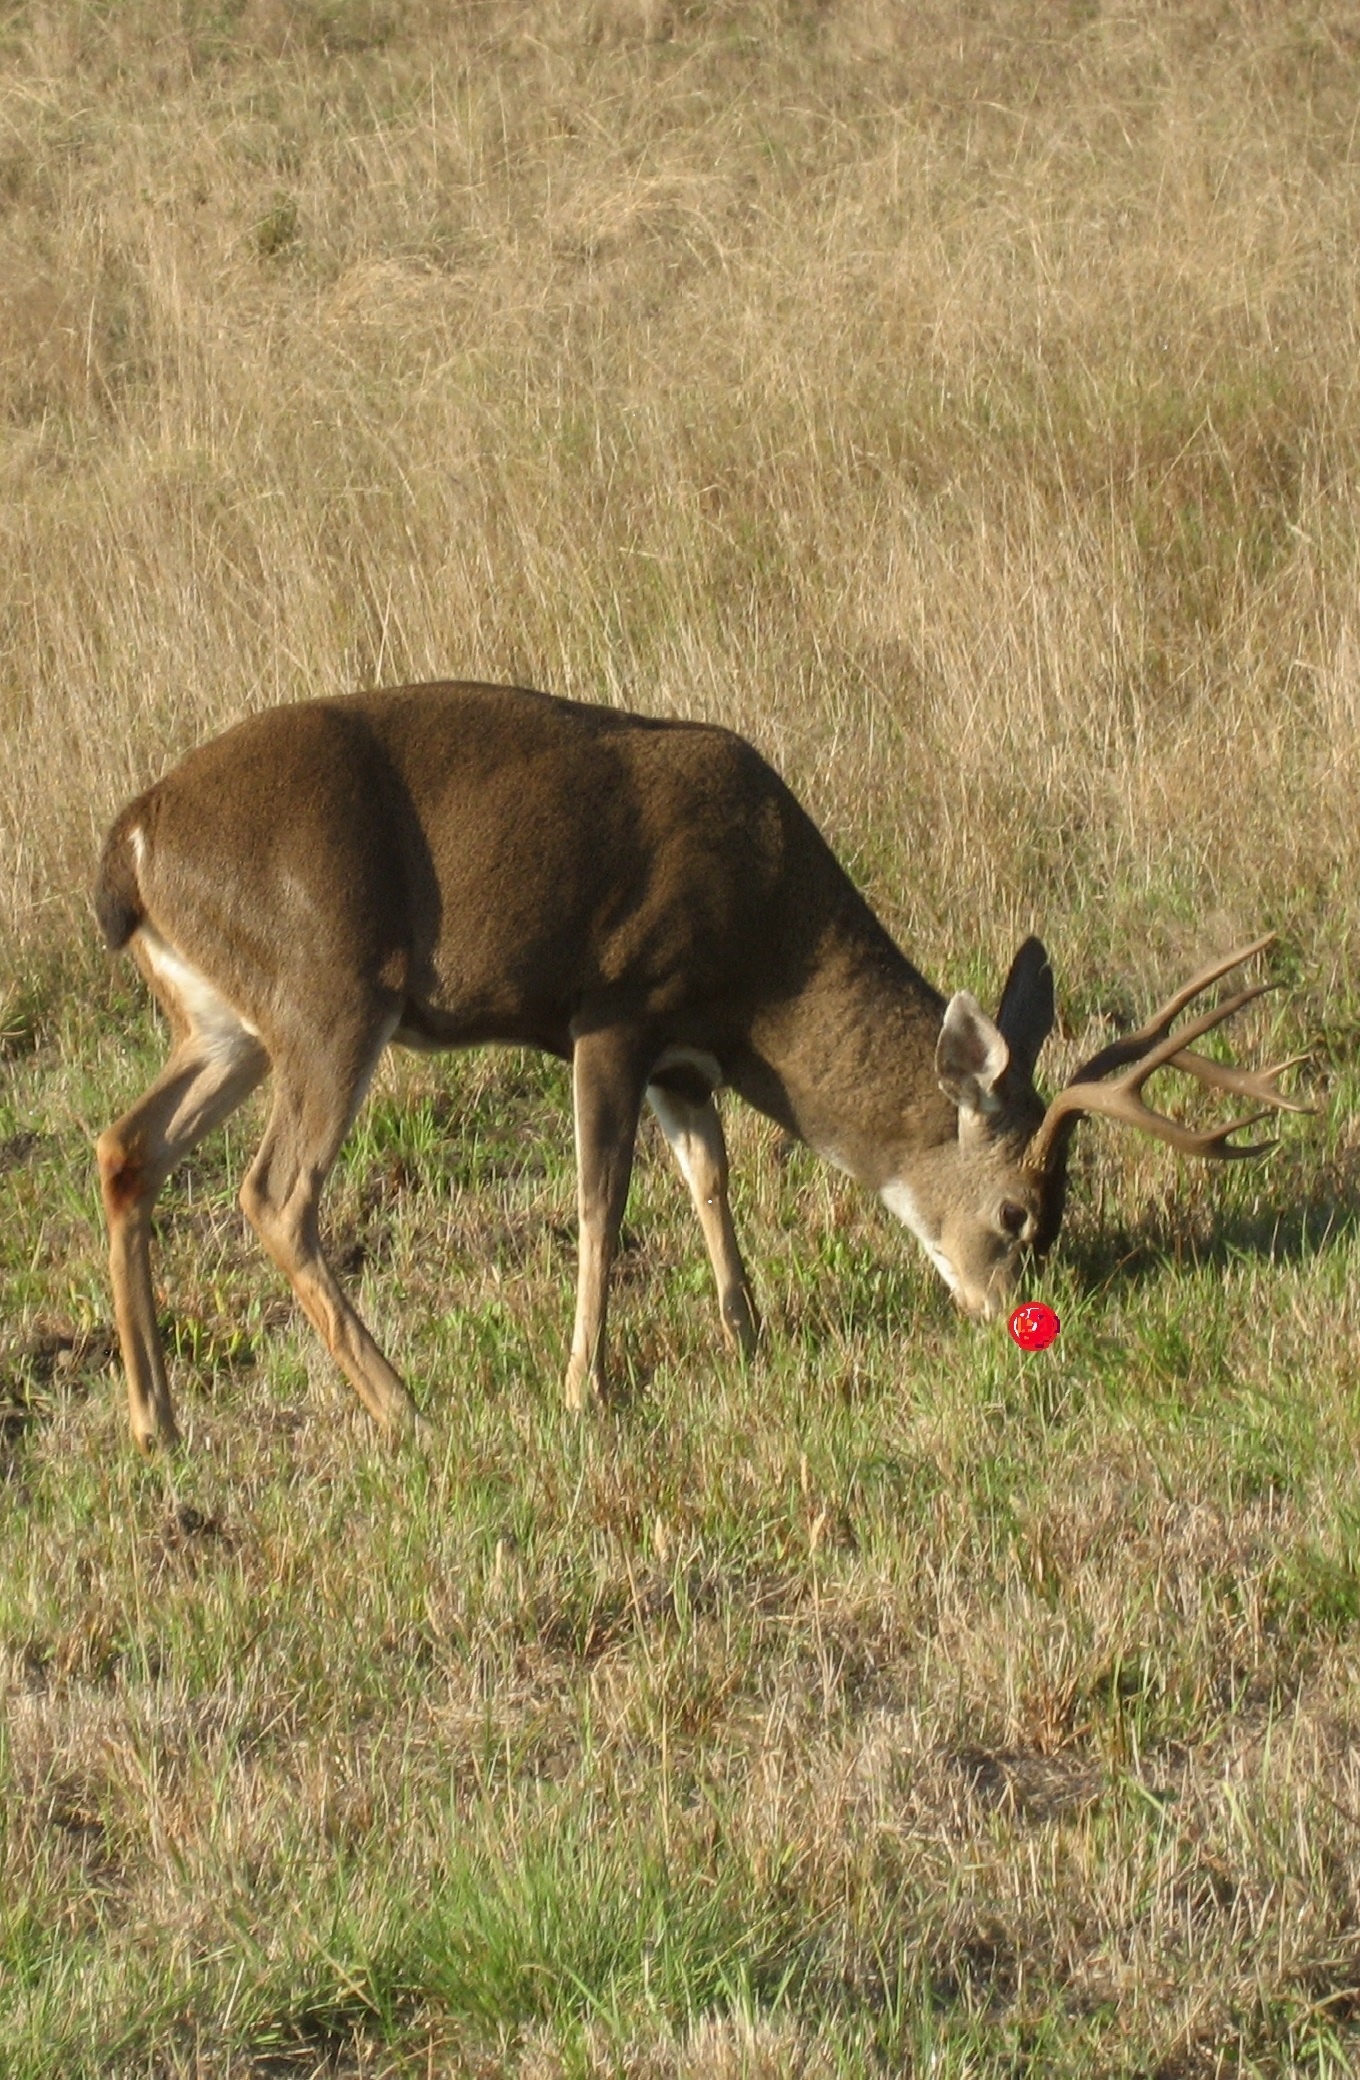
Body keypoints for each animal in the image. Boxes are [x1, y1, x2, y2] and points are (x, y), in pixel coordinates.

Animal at [93, 682, 1314, 1447]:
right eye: (1017, 1213)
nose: (1017, 1314)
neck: (766, 965)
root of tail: (132, 842)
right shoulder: (614, 1003)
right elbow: (603, 1197)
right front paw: (584, 1391)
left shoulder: (685, 1058)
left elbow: (708, 1178)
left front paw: (747, 1335)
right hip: (330, 992)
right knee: (274, 1194)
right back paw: (404, 1409)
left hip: (224, 1021)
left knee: (124, 1146)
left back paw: (158, 1423)